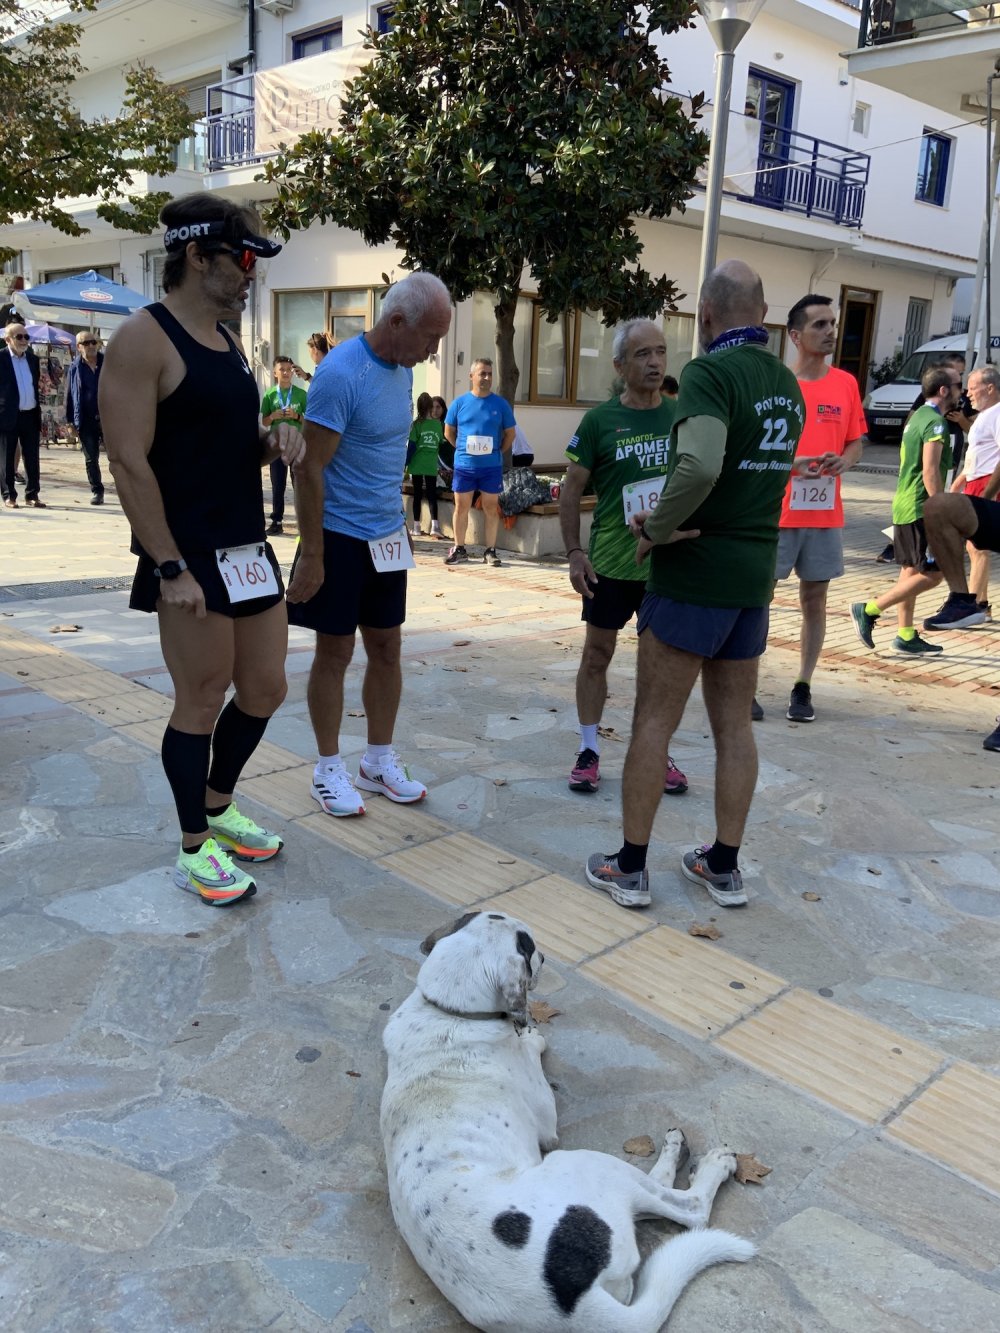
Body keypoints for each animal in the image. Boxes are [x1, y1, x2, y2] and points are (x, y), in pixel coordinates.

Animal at [381, 911, 752, 1327]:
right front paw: (532, 1036)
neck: (446, 1011)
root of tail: (575, 1305)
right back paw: (700, 1159)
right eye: (528, 946)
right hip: (587, 1164)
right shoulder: (547, 1125)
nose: (545, 957)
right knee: (691, 1210)